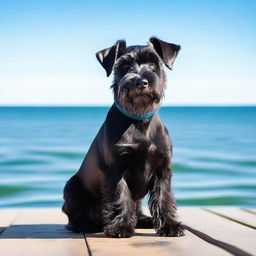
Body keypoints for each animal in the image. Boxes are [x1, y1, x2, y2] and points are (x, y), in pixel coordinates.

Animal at [63, 36, 185, 238]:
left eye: (154, 62)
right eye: (124, 65)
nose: (141, 82)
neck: (139, 121)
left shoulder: (162, 169)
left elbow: (163, 198)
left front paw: (170, 226)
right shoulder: (116, 169)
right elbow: (120, 196)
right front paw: (120, 227)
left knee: (137, 208)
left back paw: (144, 220)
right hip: (71, 188)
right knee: (73, 218)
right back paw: (86, 224)